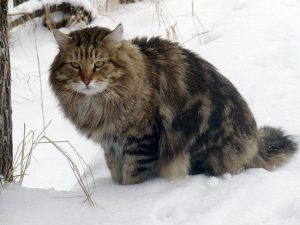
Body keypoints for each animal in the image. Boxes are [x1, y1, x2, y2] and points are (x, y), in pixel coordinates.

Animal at [49, 23, 298, 185]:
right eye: (75, 65)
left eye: (99, 64)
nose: (86, 80)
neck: (96, 105)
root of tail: (257, 143)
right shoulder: (111, 144)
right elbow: (114, 171)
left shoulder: (140, 142)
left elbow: (131, 176)